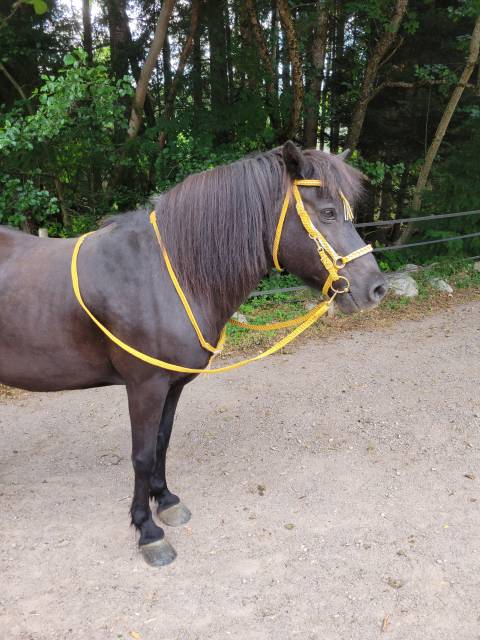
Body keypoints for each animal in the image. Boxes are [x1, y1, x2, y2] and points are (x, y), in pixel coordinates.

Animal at [0, 142, 387, 566]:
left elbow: (162, 441)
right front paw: (148, 531)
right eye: (328, 213)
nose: (376, 288)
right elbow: (141, 454)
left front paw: (166, 501)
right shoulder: (145, 386)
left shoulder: (172, 385)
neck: (166, 274)